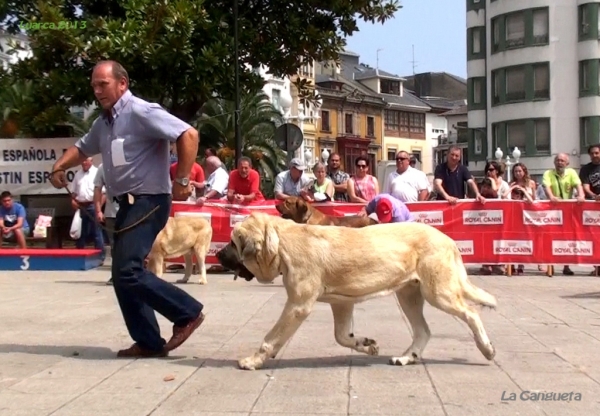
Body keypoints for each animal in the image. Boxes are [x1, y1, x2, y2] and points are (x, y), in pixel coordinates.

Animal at [220, 213, 496, 368]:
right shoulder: (341, 303)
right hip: (409, 295)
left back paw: (487, 349)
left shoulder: (298, 305)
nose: (219, 255)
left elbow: (271, 338)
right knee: (423, 331)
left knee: (471, 313)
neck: (281, 242)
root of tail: (448, 239)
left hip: (439, 293)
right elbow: (341, 336)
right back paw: (406, 358)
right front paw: (366, 344)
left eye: (233, 242)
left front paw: (252, 361)